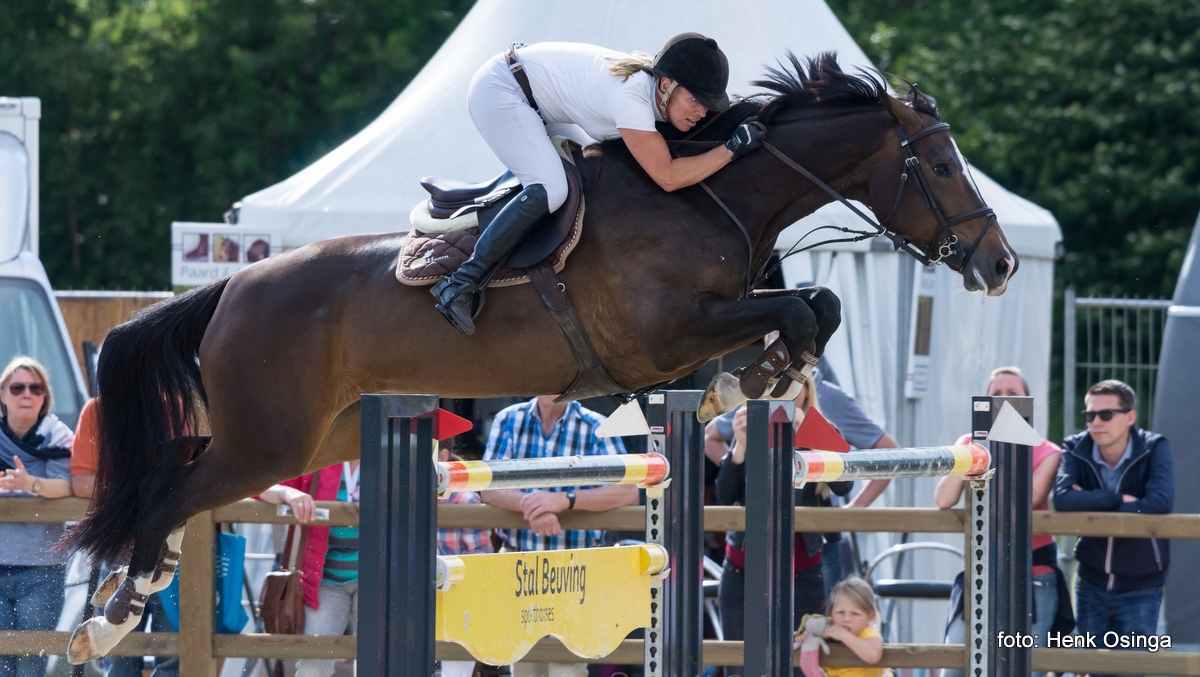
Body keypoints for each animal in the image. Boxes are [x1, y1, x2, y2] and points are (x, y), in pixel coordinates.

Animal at [65, 54, 1012, 662]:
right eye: (939, 164)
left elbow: (818, 304)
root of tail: (232, 286)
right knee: (167, 491)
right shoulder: (666, 336)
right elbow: (797, 307)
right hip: (270, 438)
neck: (704, 195)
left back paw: (124, 599)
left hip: (313, 437)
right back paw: (110, 618)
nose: (999, 264)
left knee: (178, 477)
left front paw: (770, 377)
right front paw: (762, 376)